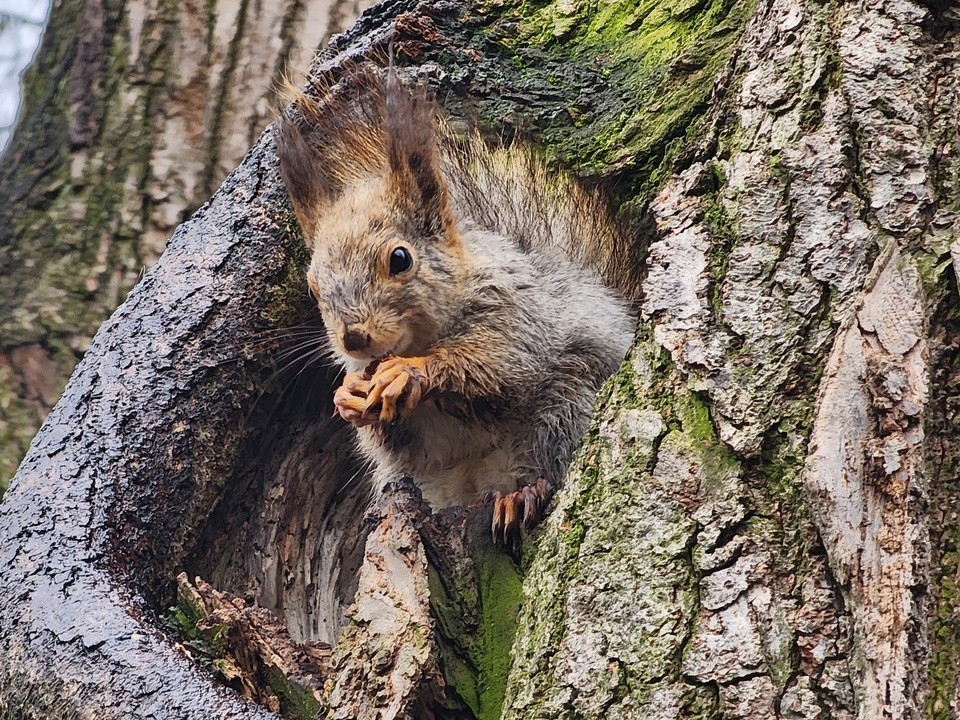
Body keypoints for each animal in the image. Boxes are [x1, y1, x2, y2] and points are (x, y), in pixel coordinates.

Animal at [276, 67, 636, 544]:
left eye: (400, 259)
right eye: (314, 288)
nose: (353, 338)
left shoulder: (519, 309)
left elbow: (498, 363)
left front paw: (409, 372)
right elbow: (398, 438)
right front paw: (348, 395)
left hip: (566, 405)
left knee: (547, 462)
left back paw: (520, 496)